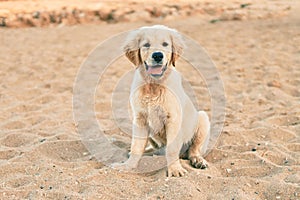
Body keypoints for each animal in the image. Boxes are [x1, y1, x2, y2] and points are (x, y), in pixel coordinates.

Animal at [113, 25, 210, 177]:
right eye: (146, 45)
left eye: (165, 44)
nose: (158, 55)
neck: (154, 85)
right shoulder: (139, 119)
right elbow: (136, 147)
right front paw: (128, 166)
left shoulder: (173, 119)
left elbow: (172, 149)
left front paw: (175, 170)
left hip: (202, 118)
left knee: (194, 150)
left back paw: (198, 161)